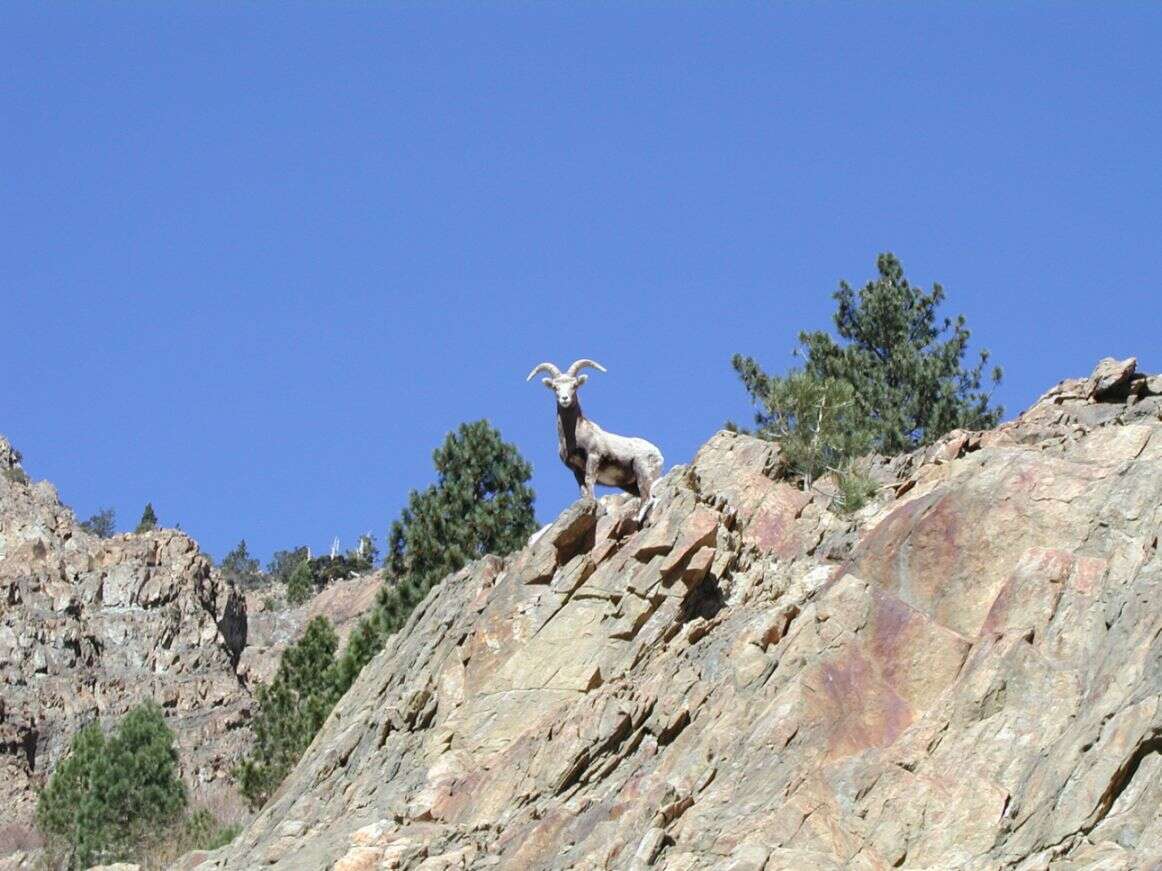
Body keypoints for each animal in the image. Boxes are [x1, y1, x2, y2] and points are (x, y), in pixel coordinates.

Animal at [527, 355, 664, 515]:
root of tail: (658, 454)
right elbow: (582, 488)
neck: (573, 436)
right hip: (630, 485)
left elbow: (589, 479)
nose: (565, 399)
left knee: (648, 498)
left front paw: (592, 503)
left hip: (642, 472)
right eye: (555, 387)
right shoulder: (575, 469)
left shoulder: (593, 456)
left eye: (574, 385)